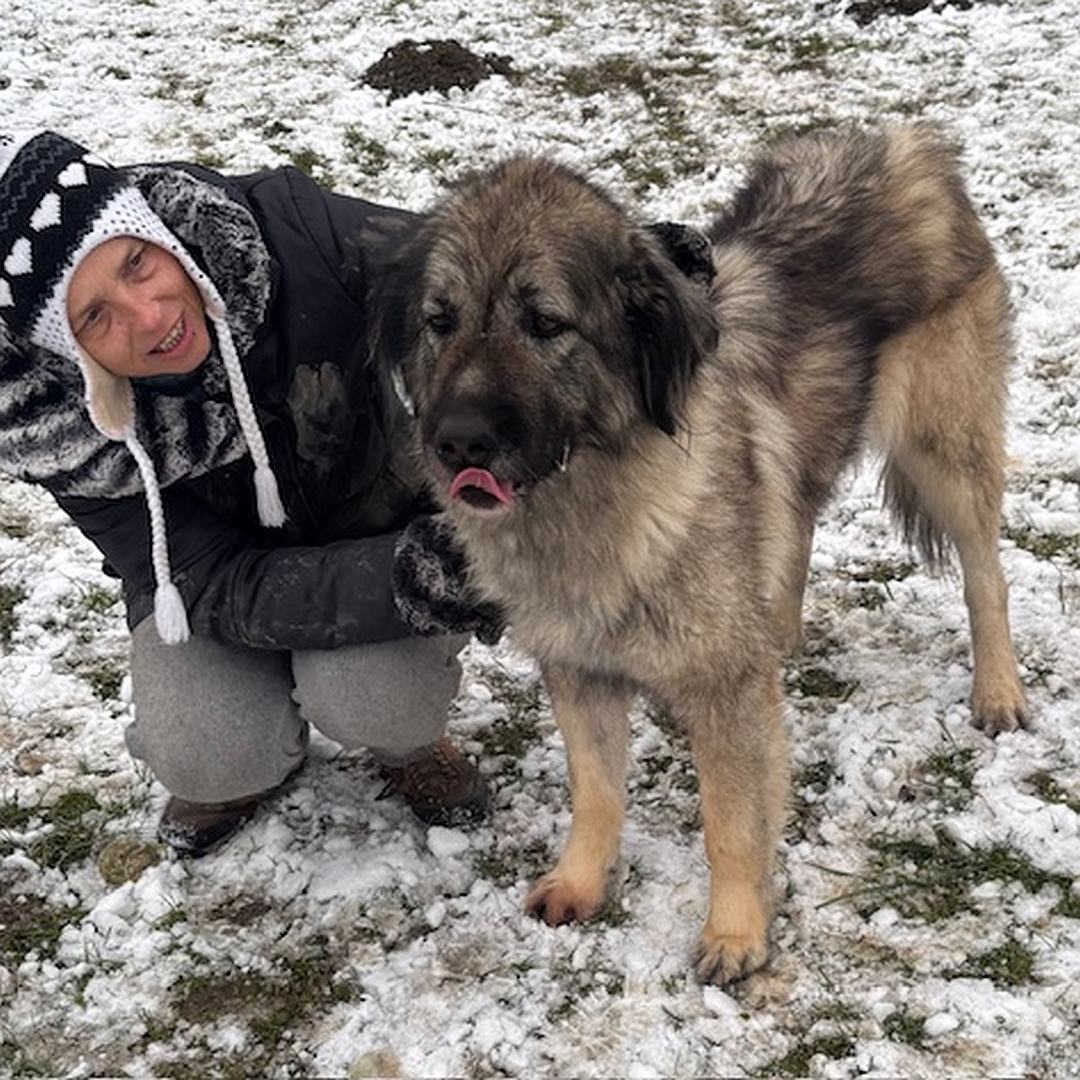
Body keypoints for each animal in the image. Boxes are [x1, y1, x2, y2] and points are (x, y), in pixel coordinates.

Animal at [378, 126, 1028, 989]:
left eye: (546, 323)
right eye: (440, 321)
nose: (456, 442)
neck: (593, 498)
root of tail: (903, 141)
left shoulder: (721, 692)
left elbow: (732, 820)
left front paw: (735, 933)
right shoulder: (578, 668)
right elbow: (596, 791)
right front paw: (581, 883)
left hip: (943, 448)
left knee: (986, 573)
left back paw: (998, 691)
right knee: (796, 522)